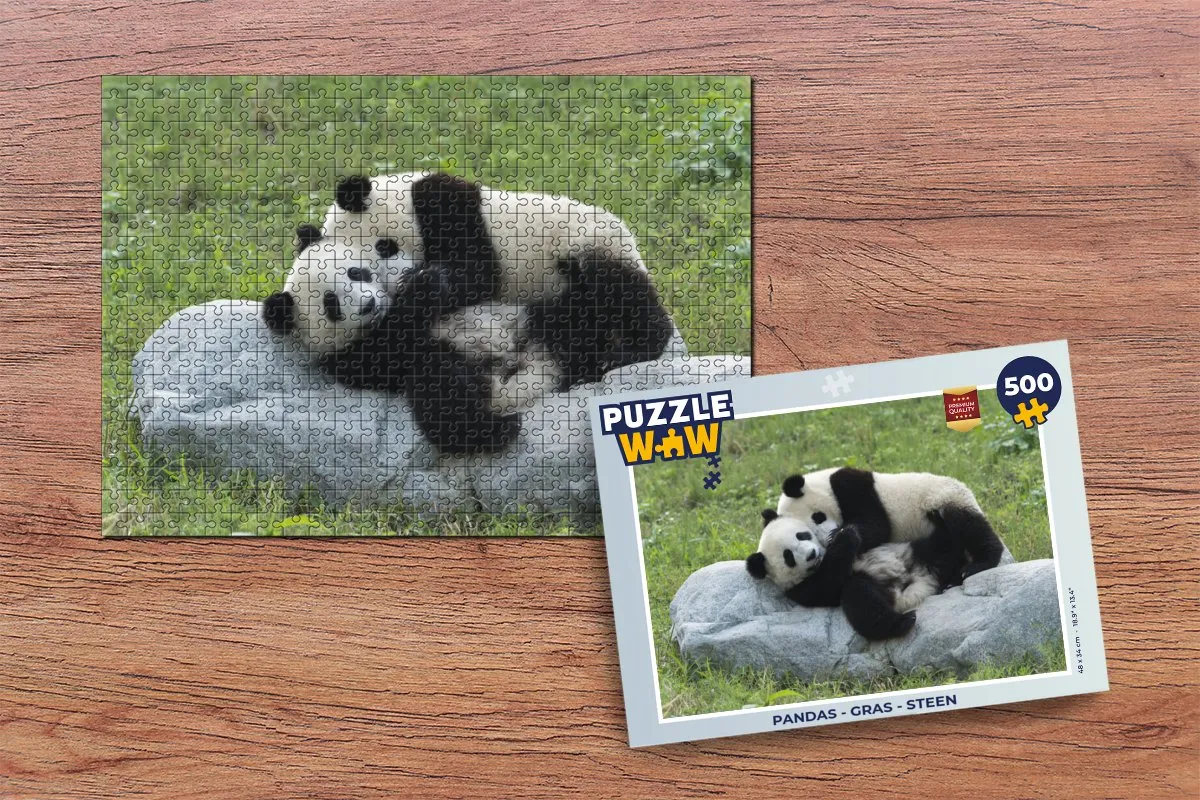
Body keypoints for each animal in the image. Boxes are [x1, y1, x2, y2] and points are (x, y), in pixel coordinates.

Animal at [321, 170, 655, 308]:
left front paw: (422, 281)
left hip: (592, 241)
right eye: (367, 275)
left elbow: (479, 269)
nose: (400, 279)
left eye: (385, 247)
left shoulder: (446, 205)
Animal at [746, 508, 974, 640]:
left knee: (939, 546)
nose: (811, 554)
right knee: (862, 599)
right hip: (875, 585)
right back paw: (902, 623)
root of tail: (919, 584)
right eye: (789, 557)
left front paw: (845, 531)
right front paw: (847, 536)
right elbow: (826, 586)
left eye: (801, 535)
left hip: (912, 552)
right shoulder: (801, 588)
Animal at [775, 467, 1005, 580]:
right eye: (808, 535)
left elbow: (878, 525)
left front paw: (839, 534)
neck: (823, 482)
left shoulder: (852, 486)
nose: (827, 537)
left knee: (969, 526)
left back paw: (979, 564)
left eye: (818, 517)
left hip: (945, 498)